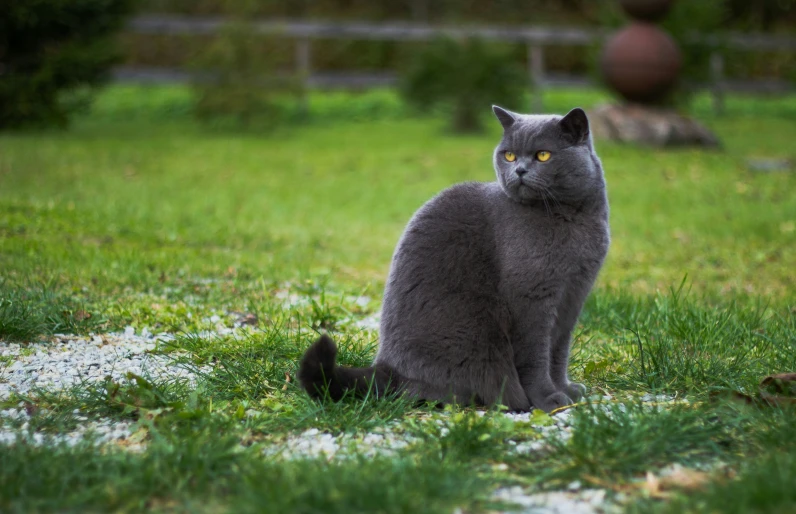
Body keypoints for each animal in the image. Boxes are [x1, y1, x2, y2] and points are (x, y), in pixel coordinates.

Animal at [298, 105, 608, 412]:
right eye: (509, 155)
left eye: (543, 155)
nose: (519, 169)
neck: (571, 217)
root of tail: (387, 369)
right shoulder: (532, 299)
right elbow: (535, 357)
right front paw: (548, 399)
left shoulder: (573, 296)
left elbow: (558, 352)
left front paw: (566, 389)